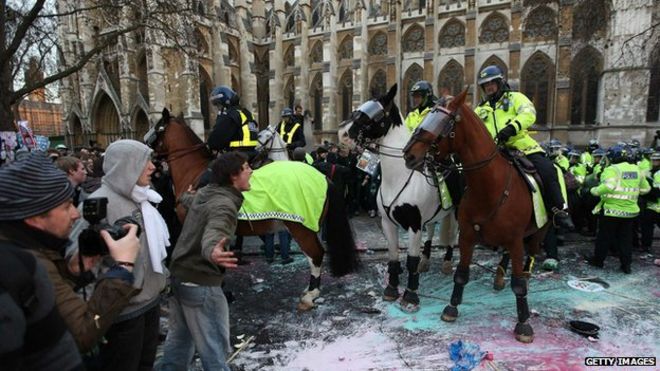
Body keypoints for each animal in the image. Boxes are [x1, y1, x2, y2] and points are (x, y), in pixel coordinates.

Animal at [146, 108, 360, 310]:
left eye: (158, 128)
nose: (145, 147)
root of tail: (322, 177)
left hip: (301, 226)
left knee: (315, 255)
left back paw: (310, 295)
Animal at [338, 85, 456, 314]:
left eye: (367, 115)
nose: (341, 133)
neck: (401, 176)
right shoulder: (388, 222)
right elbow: (393, 256)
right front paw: (391, 290)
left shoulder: (414, 225)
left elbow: (410, 260)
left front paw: (410, 296)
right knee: (432, 230)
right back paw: (427, 262)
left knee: (454, 237)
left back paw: (447, 262)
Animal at [402, 89, 552, 342]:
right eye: (427, 116)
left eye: (443, 121)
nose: (408, 155)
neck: (490, 187)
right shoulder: (468, 236)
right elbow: (461, 274)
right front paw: (451, 308)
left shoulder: (514, 239)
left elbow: (518, 285)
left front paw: (523, 323)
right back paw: (500, 275)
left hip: (540, 230)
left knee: (529, 259)